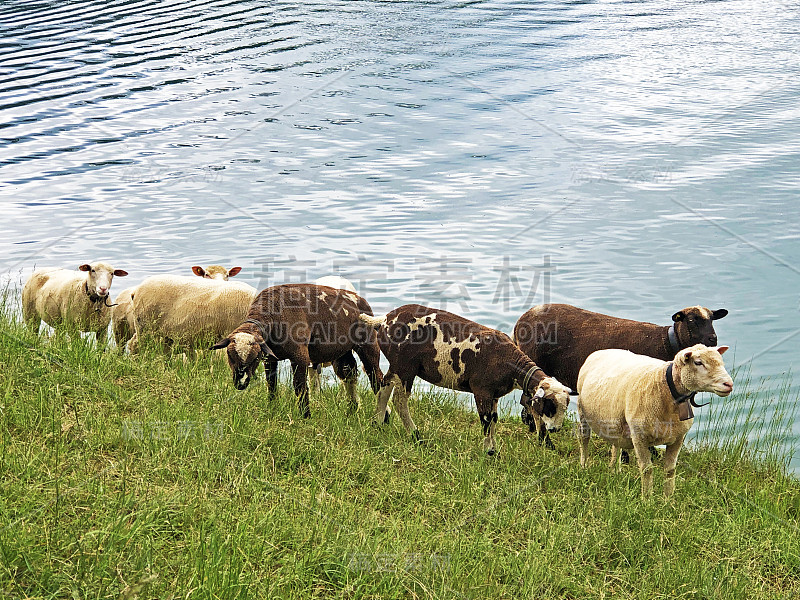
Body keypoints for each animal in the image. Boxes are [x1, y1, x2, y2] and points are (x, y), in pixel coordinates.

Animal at [360, 304, 572, 454]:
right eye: (549, 406)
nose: (556, 429)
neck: (512, 365)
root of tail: (384, 320)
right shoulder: (482, 390)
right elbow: (486, 421)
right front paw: (489, 452)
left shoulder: (493, 395)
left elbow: (493, 420)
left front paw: (494, 450)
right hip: (405, 366)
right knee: (399, 401)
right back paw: (415, 435)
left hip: (397, 365)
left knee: (384, 388)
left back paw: (377, 423)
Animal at [576, 342, 732, 496]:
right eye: (698, 362)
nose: (729, 384)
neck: (667, 389)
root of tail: (602, 350)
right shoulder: (639, 437)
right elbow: (647, 469)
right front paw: (647, 499)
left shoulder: (678, 438)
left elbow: (670, 470)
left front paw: (668, 499)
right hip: (582, 410)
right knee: (584, 438)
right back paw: (583, 466)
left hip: (615, 419)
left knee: (616, 445)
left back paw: (615, 470)